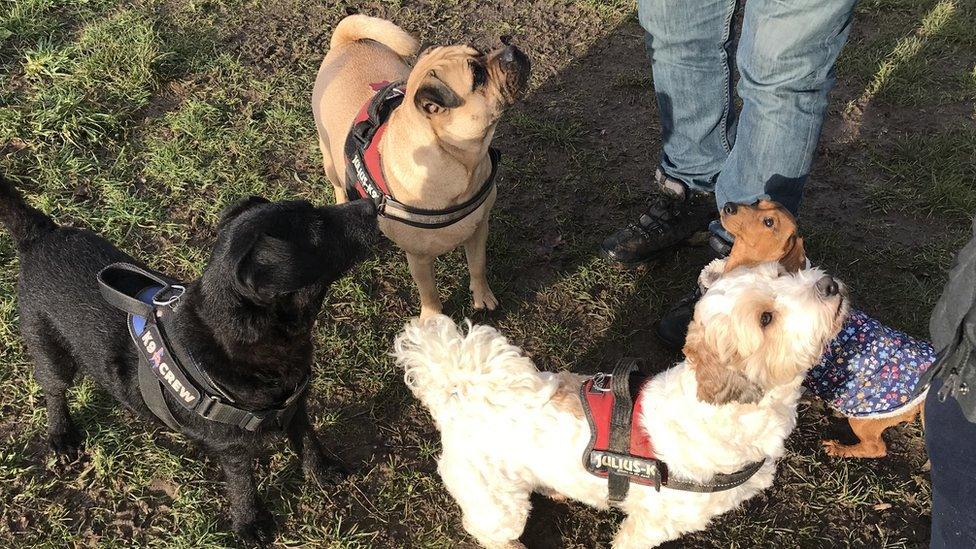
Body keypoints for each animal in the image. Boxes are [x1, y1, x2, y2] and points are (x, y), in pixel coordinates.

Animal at [392, 264, 852, 544]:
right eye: (765, 319)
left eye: (782, 272)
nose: (830, 284)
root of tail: (456, 390)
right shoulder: (651, 524)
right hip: (495, 501)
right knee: (489, 531)